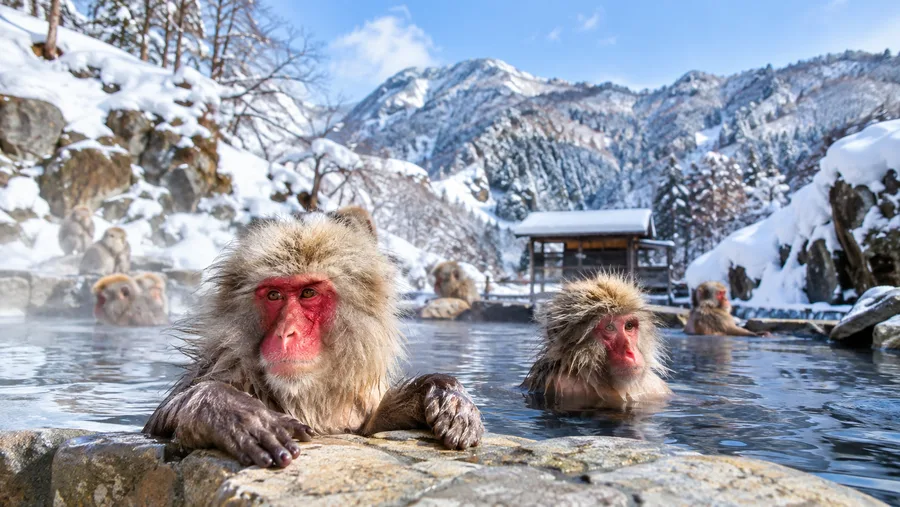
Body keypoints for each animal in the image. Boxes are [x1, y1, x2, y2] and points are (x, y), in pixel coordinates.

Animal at [143, 207, 484, 469]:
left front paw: (447, 394)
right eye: (275, 294)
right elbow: (158, 423)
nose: (286, 331)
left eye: (308, 293)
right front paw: (229, 410)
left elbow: (371, 426)